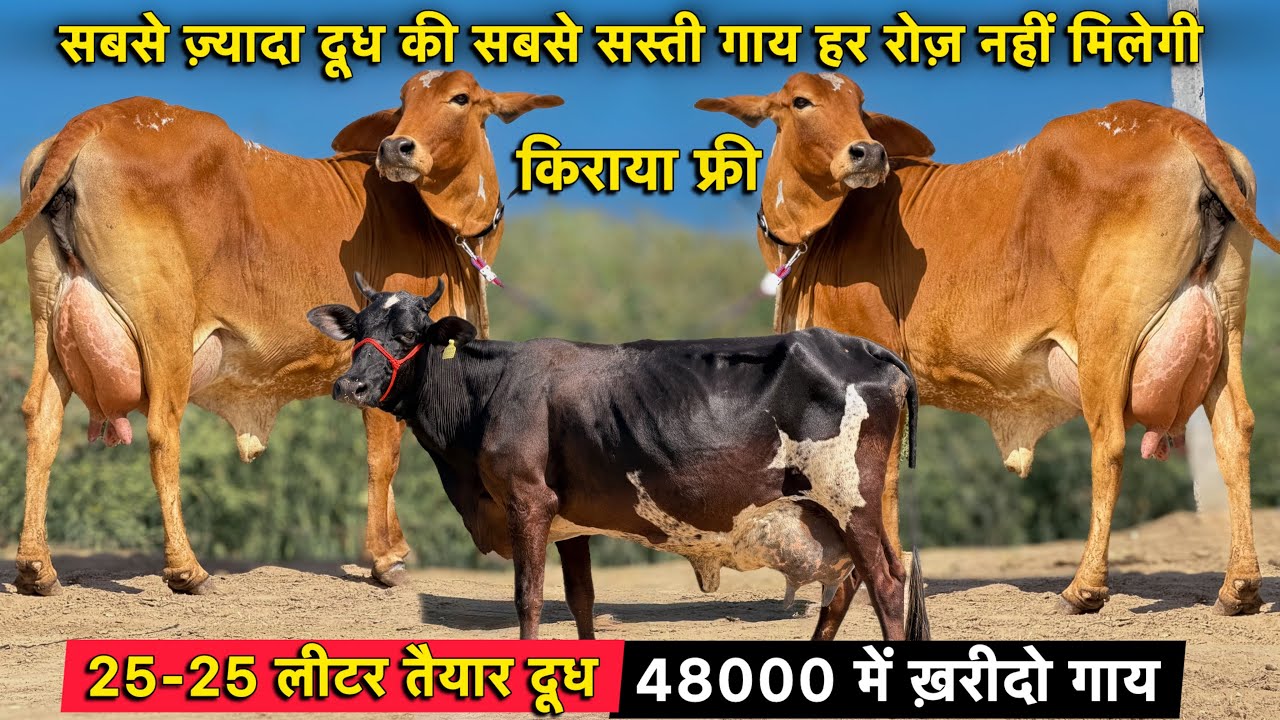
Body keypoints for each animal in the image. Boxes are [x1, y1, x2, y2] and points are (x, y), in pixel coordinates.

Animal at [0, 70, 562, 596]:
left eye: (460, 98)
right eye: (403, 102)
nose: (394, 147)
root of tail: (97, 118)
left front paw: (395, 548)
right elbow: (385, 458)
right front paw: (385, 559)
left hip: (50, 320)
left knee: (41, 420)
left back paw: (36, 568)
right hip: (165, 328)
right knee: (162, 431)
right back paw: (186, 568)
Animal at [306, 274, 929, 641]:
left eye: (411, 334)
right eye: (357, 330)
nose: (351, 386)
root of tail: (858, 344)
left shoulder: (527, 502)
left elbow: (528, 599)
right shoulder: (569, 520)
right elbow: (581, 602)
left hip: (851, 501)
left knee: (886, 583)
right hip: (837, 514)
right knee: (846, 588)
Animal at [696, 71, 1279, 616]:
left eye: (860, 106)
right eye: (801, 101)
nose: (869, 152)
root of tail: (1179, 124)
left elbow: (877, 481)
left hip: (1106, 336)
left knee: (1109, 444)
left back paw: (1084, 588)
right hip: (1224, 329)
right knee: (1235, 432)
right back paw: (1239, 587)